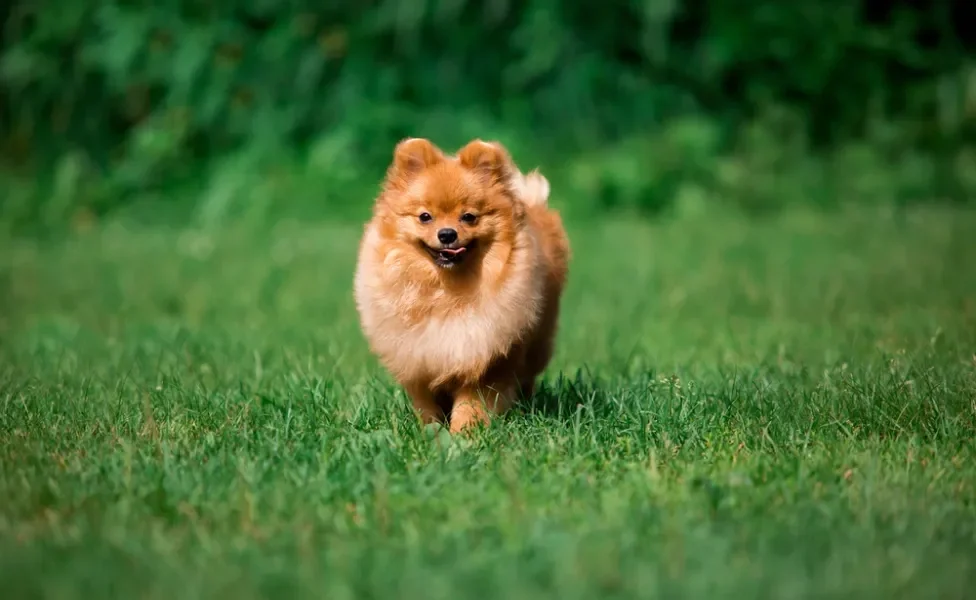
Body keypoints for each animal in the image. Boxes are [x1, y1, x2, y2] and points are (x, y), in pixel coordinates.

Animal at [354, 138, 572, 434]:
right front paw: (430, 431)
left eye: (469, 217)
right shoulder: (418, 355)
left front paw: (463, 434)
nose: (447, 234)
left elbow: (472, 402)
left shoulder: (487, 353)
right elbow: (426, 403)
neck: (445, 290)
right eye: (425, 217)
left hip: (536, 342)